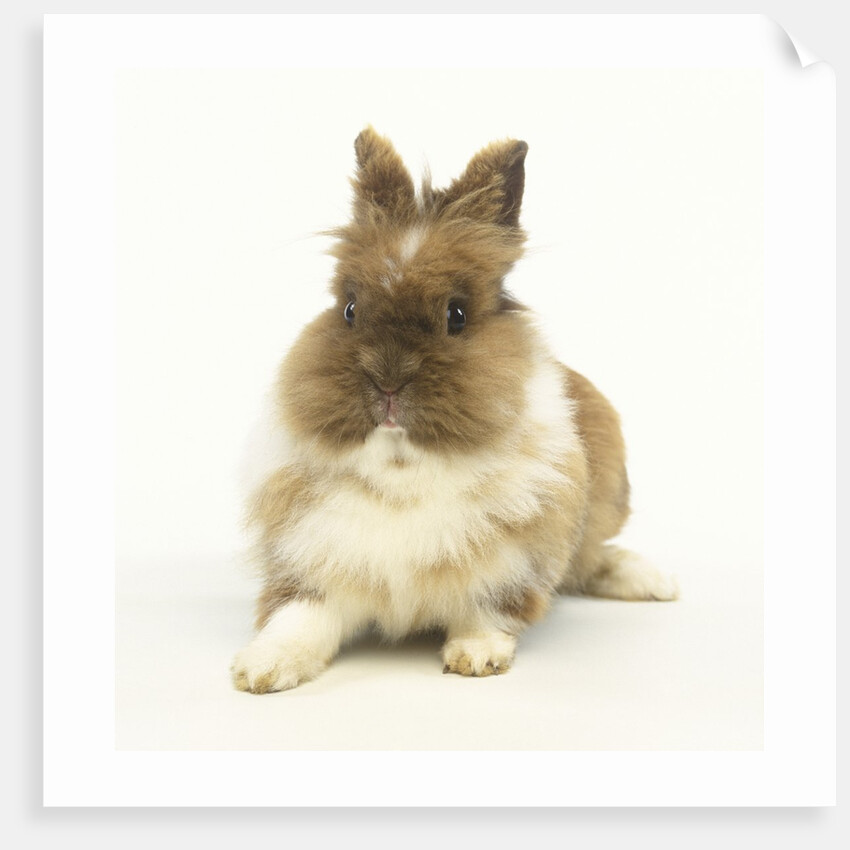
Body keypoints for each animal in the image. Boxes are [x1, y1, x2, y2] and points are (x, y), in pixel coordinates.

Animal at [231, 127, 678, 694]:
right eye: (349, 309)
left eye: (457, 315)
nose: (388, 381)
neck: (404, 468)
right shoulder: (315, 566)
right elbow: (297, 619)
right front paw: (260, 670)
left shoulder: (513, 566)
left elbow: (487, 613)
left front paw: (476, 657)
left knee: (595, 557)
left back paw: (657, 583)